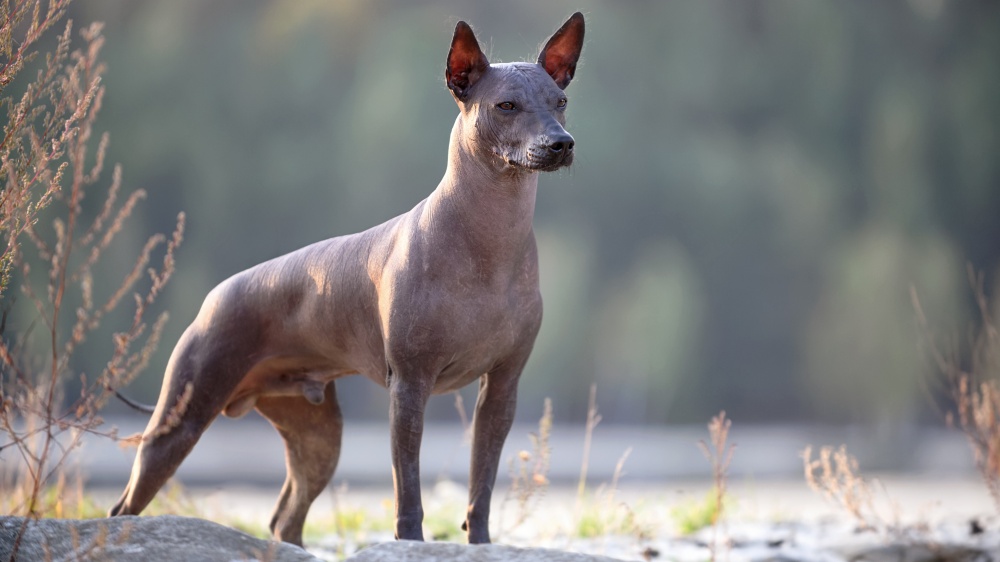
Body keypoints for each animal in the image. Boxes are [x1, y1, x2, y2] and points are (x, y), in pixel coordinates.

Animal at [111, 13, 584, 544]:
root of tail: (214, 297)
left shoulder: (502, 389)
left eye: (561, 102)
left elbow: (480, 484)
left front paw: (479, 544)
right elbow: (408, 489)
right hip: (181, 421)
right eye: (506, 105)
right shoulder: (409, 387)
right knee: (125, 507)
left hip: (318, 436)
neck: (491, 241)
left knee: (286, 518)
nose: (561, 143)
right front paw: (411, 543)